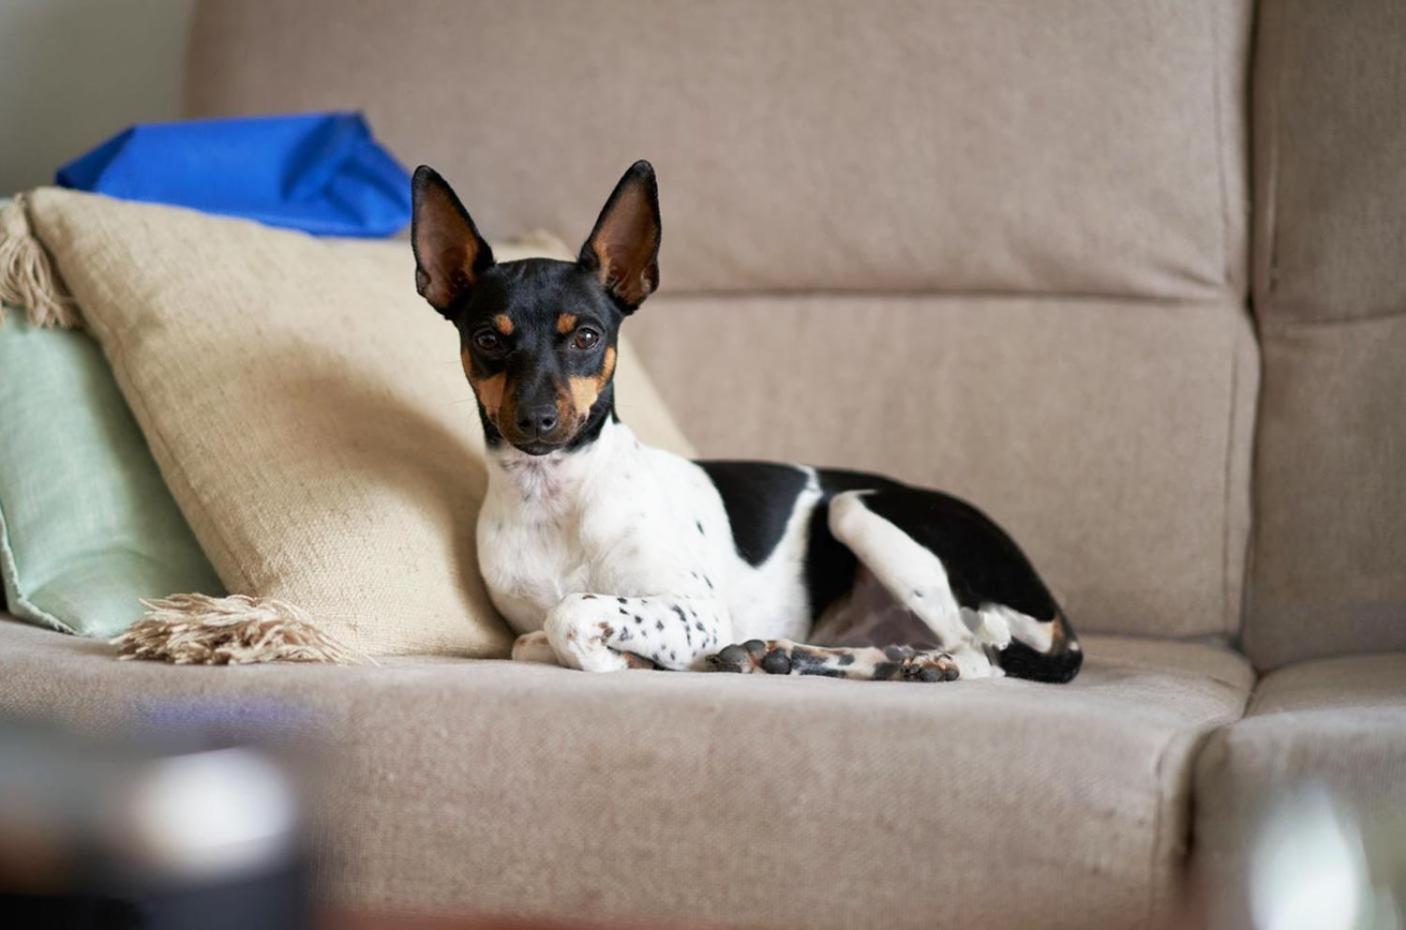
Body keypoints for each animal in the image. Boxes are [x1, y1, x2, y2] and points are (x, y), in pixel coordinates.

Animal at [410, 159, 1079, 680]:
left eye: (587, 338)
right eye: (487, 340)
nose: (537, 419)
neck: (555, 499)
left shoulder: (698, 611)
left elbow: (568, 615)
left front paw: (628, 656)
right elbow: (531, 639)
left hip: (856, 510)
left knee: (977, 655)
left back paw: (918, 665)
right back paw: (799, 657)